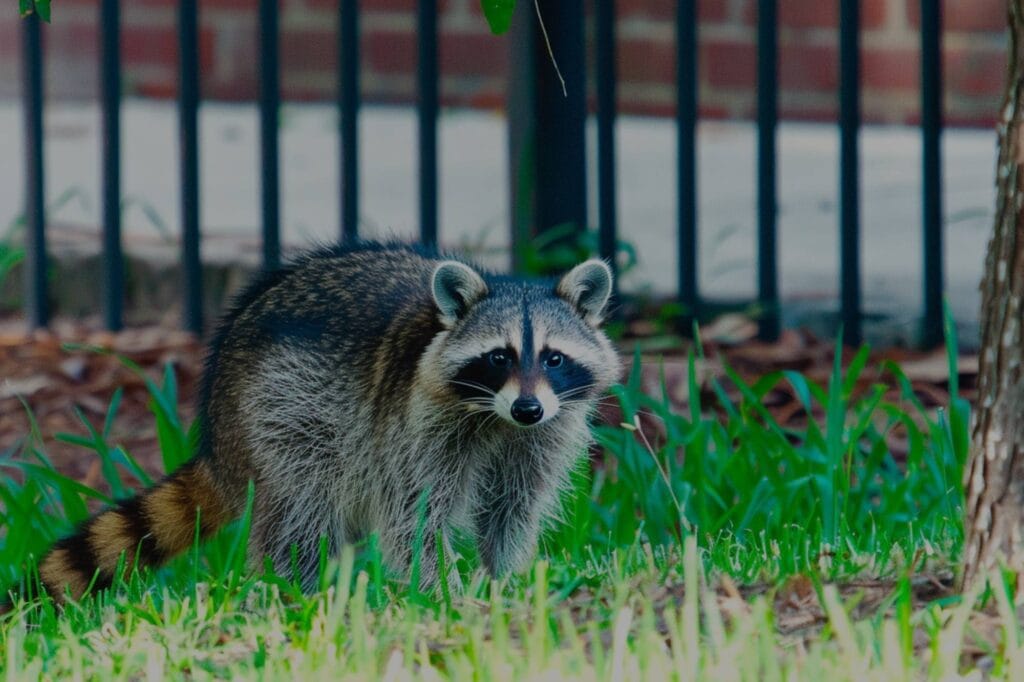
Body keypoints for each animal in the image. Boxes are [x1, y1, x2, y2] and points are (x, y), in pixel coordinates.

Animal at [35, 242, 620, 602]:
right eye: (499, 357)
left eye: (553, 358)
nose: (527, 408)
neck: (496, 418)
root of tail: (219, 442)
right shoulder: (417, 424)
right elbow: (415, 516)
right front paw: (446, 595)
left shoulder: (545, 431)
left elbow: (511, 509)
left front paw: (501, 579)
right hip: (281, 408)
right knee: (302, 505)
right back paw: (297, 592)